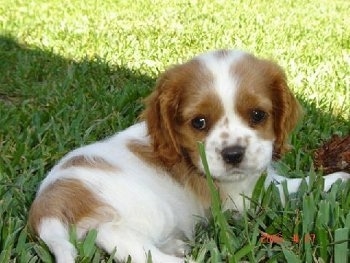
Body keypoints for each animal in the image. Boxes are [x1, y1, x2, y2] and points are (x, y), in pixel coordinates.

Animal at [28, 50, 350, 263]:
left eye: (258, 115)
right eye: (199, 122)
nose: (233, 154)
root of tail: (46, 207)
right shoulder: (243, 199)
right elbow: (298, 185)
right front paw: (339, 178)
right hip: (149, 210)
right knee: (118, 238)